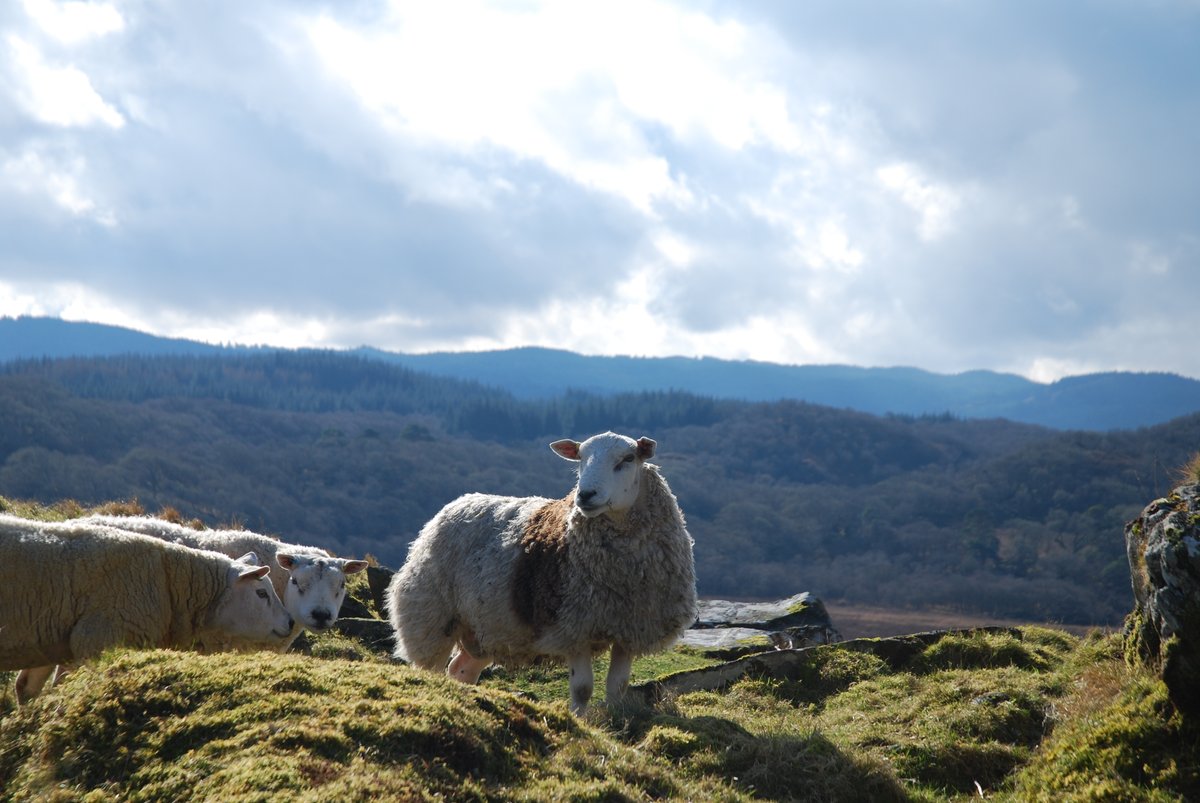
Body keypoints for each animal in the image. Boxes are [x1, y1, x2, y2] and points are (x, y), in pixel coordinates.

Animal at [384, 429, 700, 710]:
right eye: (581, 459)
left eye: (627, 458)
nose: (585, 495)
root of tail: (459, 502)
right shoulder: (572, 627)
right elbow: (582, 689)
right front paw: (580, 721)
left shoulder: (630, 627)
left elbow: (618, 687)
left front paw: (613, 719)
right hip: (430, 616)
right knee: (432, 667)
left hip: (486, 627)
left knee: (461, 670)